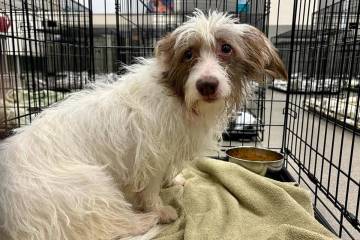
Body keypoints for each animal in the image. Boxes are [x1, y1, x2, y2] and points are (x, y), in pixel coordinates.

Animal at [0, 9, 286, 240]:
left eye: (226, 48)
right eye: (188, 54)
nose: (207, 85)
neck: (178, 97)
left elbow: (167, 175)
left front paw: (173, 180)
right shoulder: (150, 156)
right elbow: (150, 190)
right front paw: (158, 208)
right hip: (91, 186)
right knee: (110, 225)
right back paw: (147, 220)